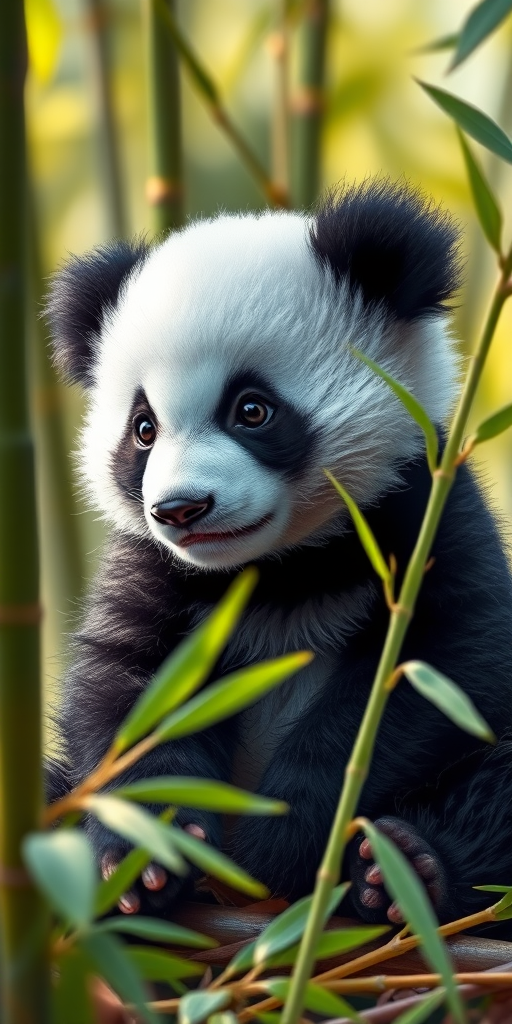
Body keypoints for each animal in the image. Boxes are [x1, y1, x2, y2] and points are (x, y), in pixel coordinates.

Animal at [46, 180, 512, 927]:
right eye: (143, 429)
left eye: (252, 410)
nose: (181, 509)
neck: (278, 568)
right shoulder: (155, 567)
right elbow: (129, 686)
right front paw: (152, 856)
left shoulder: (423, 519)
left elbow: (437, 666)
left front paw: (286, 837)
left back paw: (405, 868)